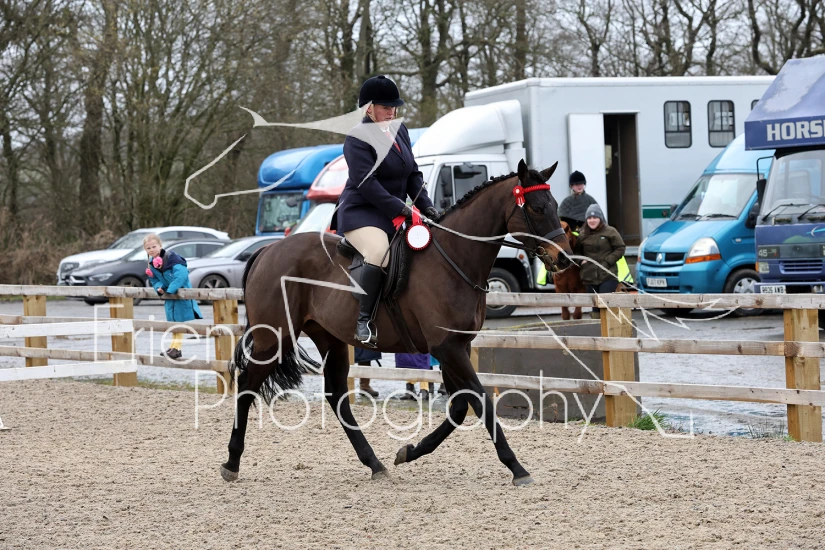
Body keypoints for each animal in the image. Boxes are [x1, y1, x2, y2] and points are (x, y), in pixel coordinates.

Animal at [220, 159, 573, 486]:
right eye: (538, 208)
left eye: (555, 205)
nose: (564, 259)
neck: (455, 258)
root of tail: (267, 250)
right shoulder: (447, 348)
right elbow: (481, 401)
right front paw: (517, 467)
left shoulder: (454, 347)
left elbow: (460, 407)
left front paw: (410, 451)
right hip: (275, 338)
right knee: (247, 385)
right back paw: (232, 462)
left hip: (330, 338)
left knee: (336, 396)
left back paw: (374, 463)